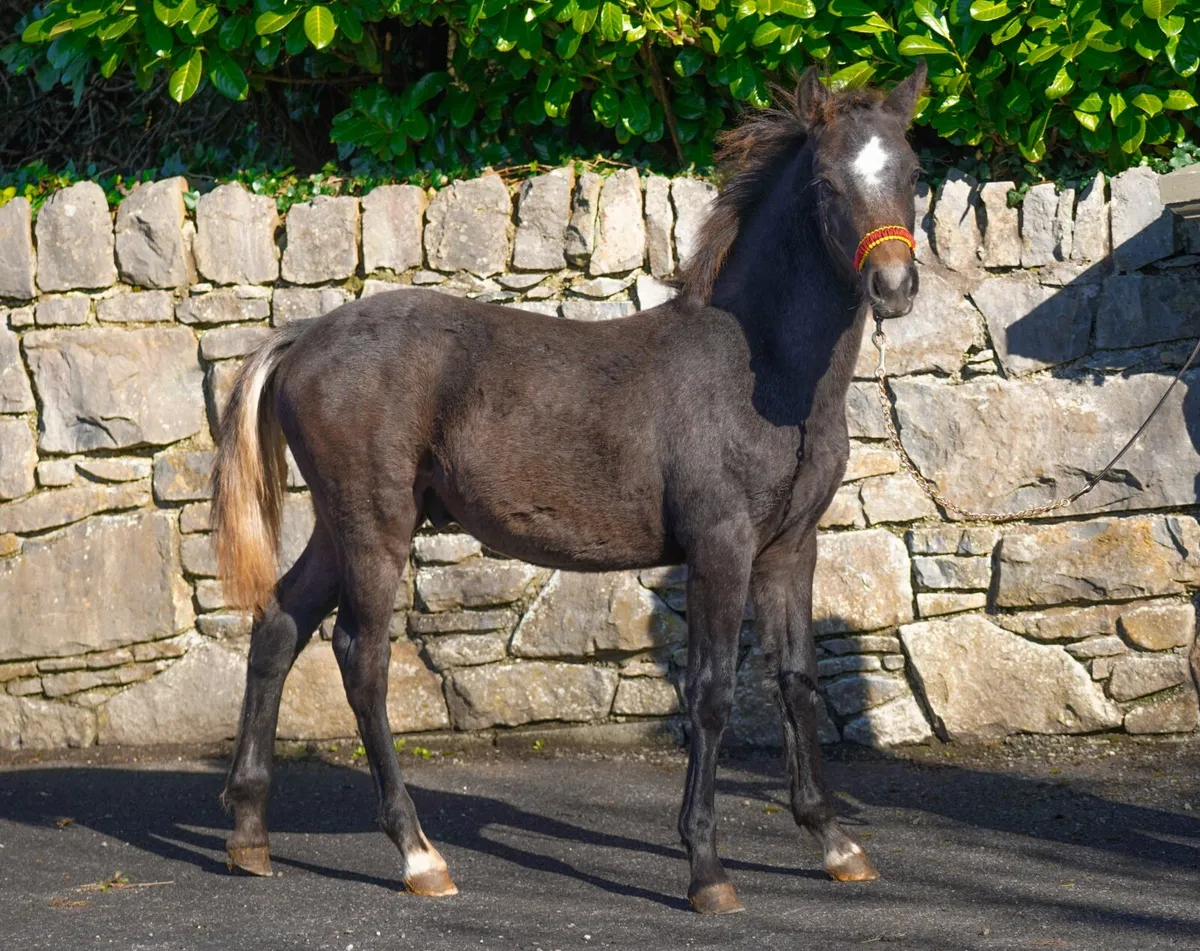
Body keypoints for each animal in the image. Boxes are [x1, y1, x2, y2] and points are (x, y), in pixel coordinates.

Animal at [211, 62, 927, 915]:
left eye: (912, 173)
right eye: (825, 181)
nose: (893, 285)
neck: (760, 373)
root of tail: (301, 338)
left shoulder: (790, 547)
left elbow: (798, 681)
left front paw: (835, 841)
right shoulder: (721, 546)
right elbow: (712, 692)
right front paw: (707, 870)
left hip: (339, 523)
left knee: (279, 625)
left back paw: (249, 834)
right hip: (374, 525)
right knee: (363, 656)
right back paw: (419, 854)